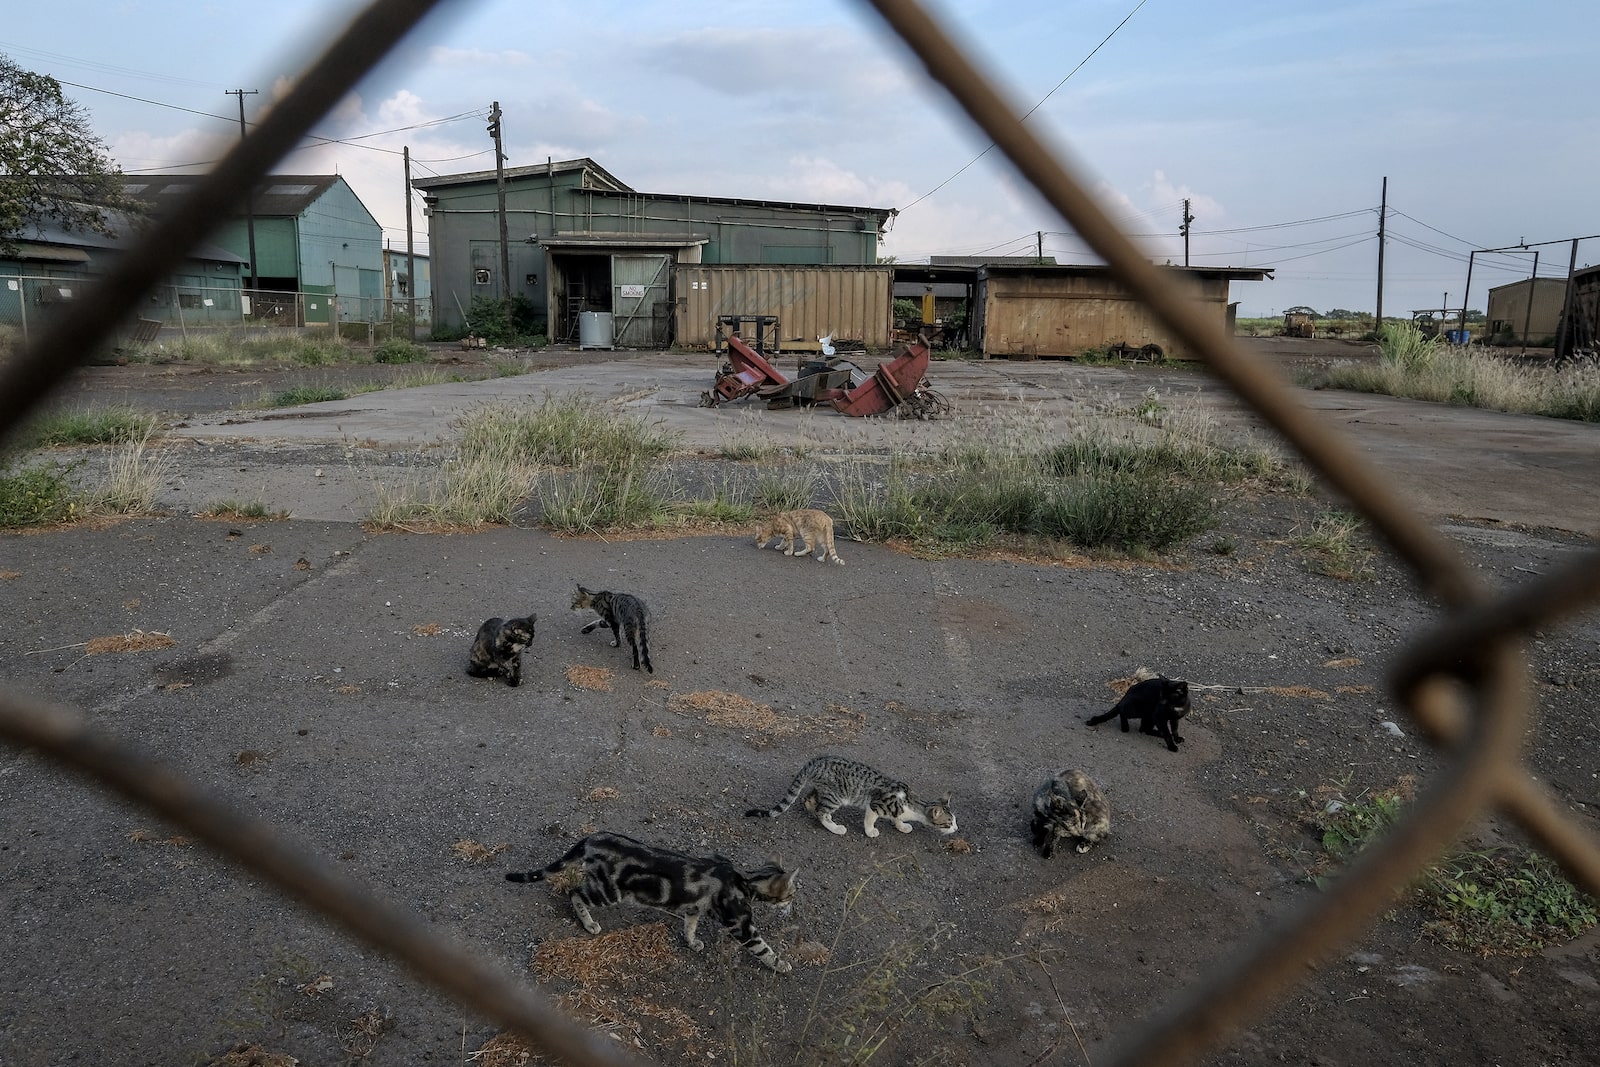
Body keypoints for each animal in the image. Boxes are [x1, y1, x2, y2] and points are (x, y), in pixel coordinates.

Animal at [505, 831, 793, 972]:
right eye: (791, 894)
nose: (791, 904)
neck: (744, 880)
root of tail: (594, 837)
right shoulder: (741, 926)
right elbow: (764, 949)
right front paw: (782, 965)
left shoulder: (693, 908)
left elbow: (690, 926)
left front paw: (692, 942)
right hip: (608, 891)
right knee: (574, 892)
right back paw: (589, 924)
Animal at [745, 755, 953, 838]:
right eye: (949, 823)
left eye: (955, 821)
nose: (956, 829)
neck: (912, 802)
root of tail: (816, 761)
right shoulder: (875, 804)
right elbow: (870, 819)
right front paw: (871, 831)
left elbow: (897, 819)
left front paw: (902, 826)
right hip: (836, 796)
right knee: (821, 811)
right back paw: (835, 827)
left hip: (824, 790)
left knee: (809, 801)